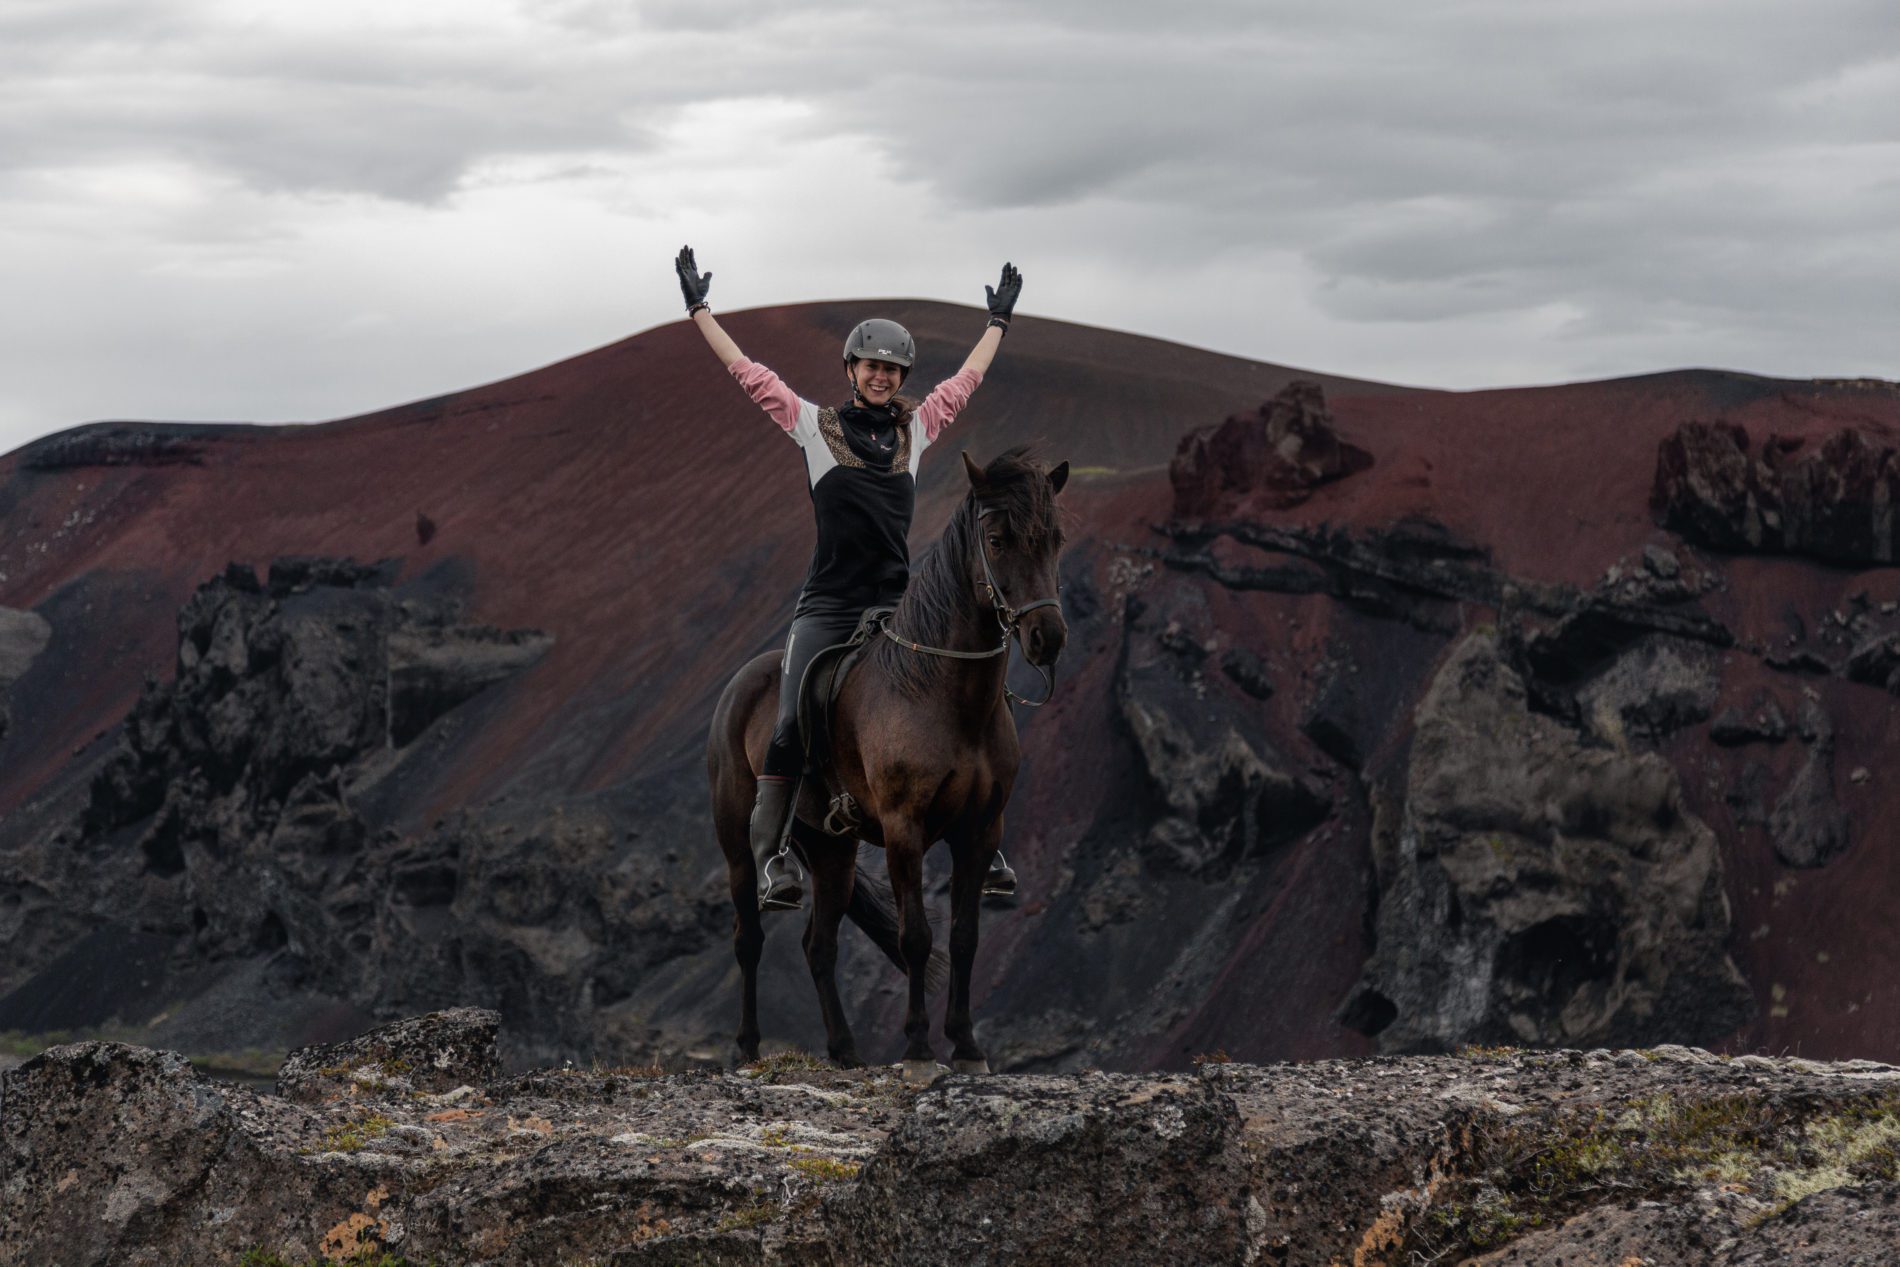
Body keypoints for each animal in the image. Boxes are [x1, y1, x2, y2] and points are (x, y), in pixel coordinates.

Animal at [710, 448, 1071, 1078]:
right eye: (997, 540)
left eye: (1055, 540)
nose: (1045, 637)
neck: (943, 693)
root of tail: (739, 685)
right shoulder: (906, 828)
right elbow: (916, 937)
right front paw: (921, 1049)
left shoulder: (980, 830)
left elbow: (965, 937)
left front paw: (967, 1046)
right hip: (738, 847)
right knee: (748, 938)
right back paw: (749, 1048)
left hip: (833, 852)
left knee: (818, 945)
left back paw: (845, 1051)